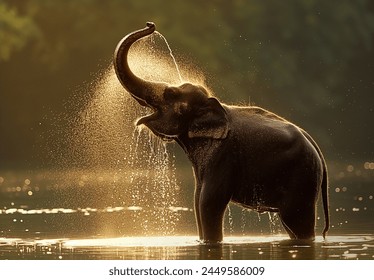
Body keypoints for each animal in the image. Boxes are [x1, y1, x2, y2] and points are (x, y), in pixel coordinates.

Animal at [112, 22, 328, 243]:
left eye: (170, 93)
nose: (150, 25)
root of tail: (318, 152)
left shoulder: (223, 155)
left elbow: (209, 202)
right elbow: (197, 200)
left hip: (302, 178)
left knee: (296, 220)